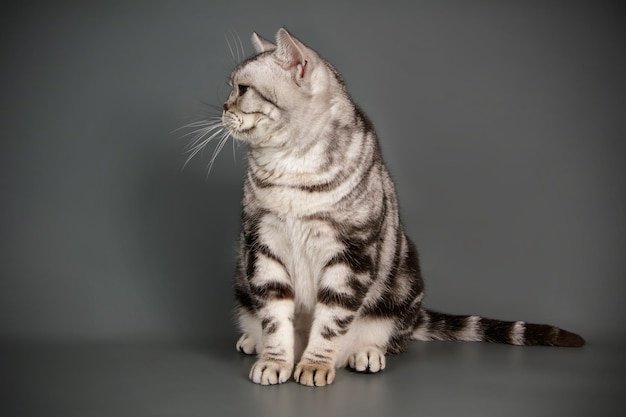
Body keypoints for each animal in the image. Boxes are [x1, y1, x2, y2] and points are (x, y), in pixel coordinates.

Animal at [201, 26, 584, 386]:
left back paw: (366, 353)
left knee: (389, 336)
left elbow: (330, 322)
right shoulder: (263, 244)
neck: (291, 166)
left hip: (405, 276)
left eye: (242, 90)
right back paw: (252, 341)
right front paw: (275, 360)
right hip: (242, 273)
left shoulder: (350, 254)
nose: (222, 107)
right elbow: (275, 318)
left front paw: (314, 365)